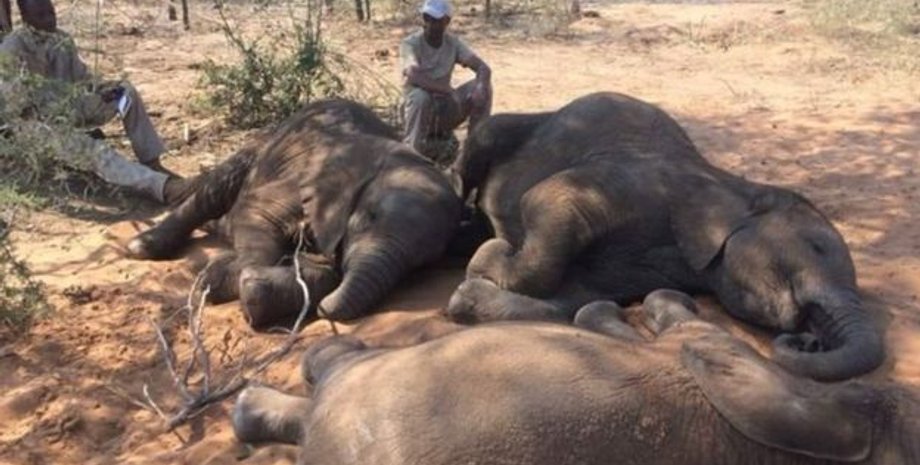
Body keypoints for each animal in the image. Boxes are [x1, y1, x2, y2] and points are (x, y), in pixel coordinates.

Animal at [127, 99, 461, 326]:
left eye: (421, 265)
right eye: (369, 217)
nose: (325, 309)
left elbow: (328, 270)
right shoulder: (304, 180)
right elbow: (256, 212)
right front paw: (221, 280)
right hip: (260, 147)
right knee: (215, 191)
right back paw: (142, 246)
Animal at [444, 91, 884, 381]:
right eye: (817, 247)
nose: (809, 341)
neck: (733, 187)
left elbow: (575, 295)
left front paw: (469, 293)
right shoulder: (642, 184)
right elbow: (547, 199)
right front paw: (489, 256)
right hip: (506, 129)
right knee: (479, 148)